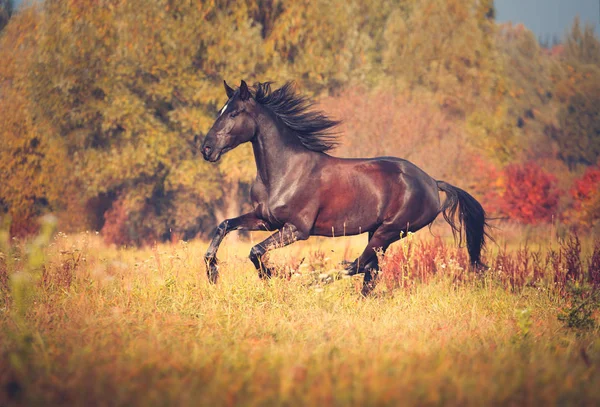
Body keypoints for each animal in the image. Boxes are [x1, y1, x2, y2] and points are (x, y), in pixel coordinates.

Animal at [199, 81, 490, 294]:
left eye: (234, 113)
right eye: (220, 111)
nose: (206, 149)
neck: (284, 172)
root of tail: (431, 181)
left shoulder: (296, 229)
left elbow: (256, 251)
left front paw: (276, 276)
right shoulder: (266, 220)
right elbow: (225, 225)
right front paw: (212, 273)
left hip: (388, 231)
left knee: (358, 265)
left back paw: (312, 282)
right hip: (378, 232)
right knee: (370, 270)